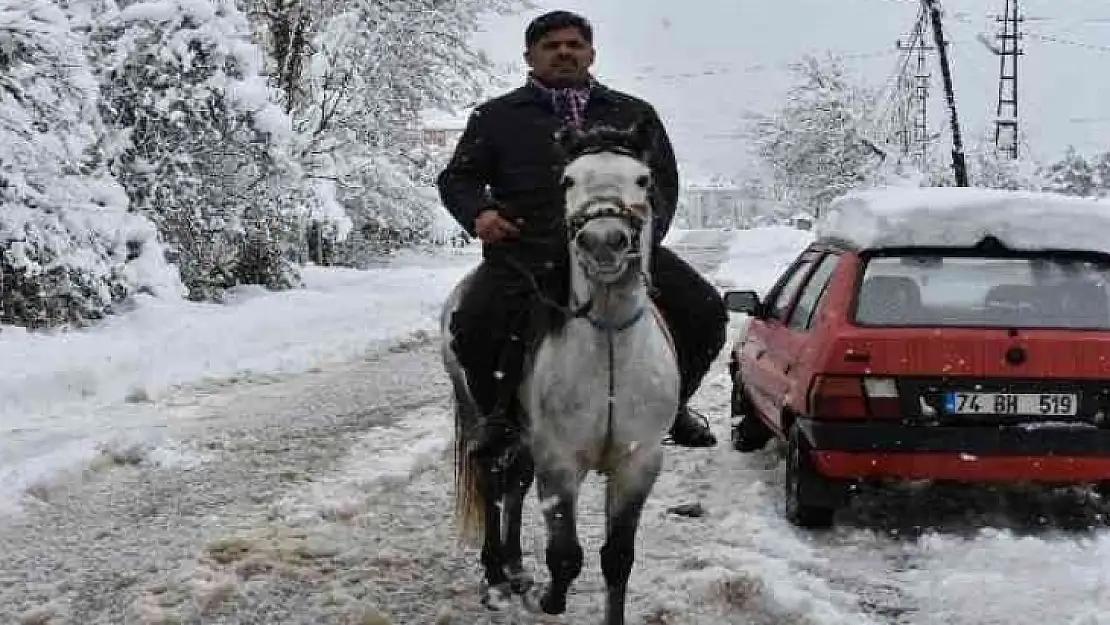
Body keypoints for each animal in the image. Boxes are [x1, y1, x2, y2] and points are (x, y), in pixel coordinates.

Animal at [439, 123, 679, 625]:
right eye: (568, 180)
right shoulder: (560, 462)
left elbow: (617, 557)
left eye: (643, 179)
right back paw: (497, 577)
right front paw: (544, 599)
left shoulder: (638, 464)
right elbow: (566, 556)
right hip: (480, 413)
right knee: (492, 481)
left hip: (526, 437)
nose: (603, 240)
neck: (607, 333)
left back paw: (514, 568)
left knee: (514, 483)